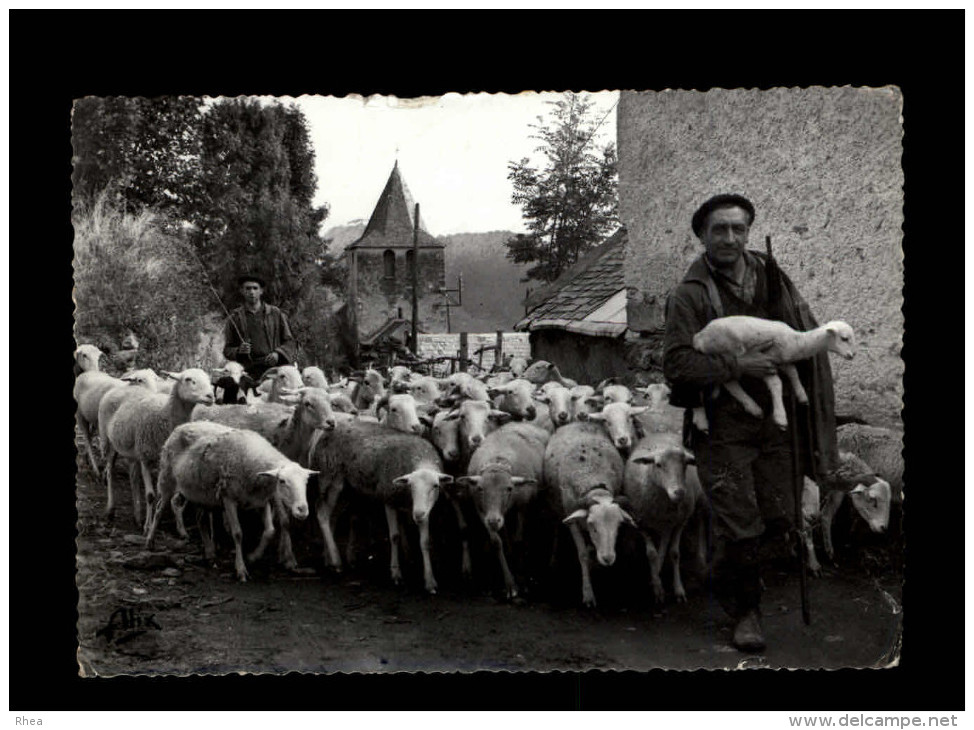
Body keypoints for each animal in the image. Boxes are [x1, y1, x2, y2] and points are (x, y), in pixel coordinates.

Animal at [104, 364, 214, 528]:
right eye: (188, 379)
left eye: (208, 379)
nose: (210, 396)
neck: (164, 414)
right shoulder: (145, 457)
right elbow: (150, 495)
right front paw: (147, 527)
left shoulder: (163, 462)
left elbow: (162, 495)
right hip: (108, 440)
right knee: (110, 471)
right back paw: (110, 509)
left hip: (131, 449)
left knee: (133, 478)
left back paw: (137, 516)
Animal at [147, 420, 318, 580]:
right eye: (282, 481)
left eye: (306, 481)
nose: (303, 510)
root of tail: (184, 425)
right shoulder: (228, 498)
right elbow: (237, 533)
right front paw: (241, 569)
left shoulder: (261, 501)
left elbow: (270, 531)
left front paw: (253, 557)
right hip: (167, 478)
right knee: (159, 510)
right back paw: (150, 540)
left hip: (201, 493)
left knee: (200, 519)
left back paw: (210, 552)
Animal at [692, 316, 856, 430]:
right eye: (844, 338)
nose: (852, 355)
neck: (796, 341)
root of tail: (699, 337)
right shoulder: (765, 362)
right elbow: (776, 383)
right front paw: (780, 417)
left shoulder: (782, 360)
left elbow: (793, 372)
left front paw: (802, 395)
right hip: (727, 350)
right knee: (729, 382)